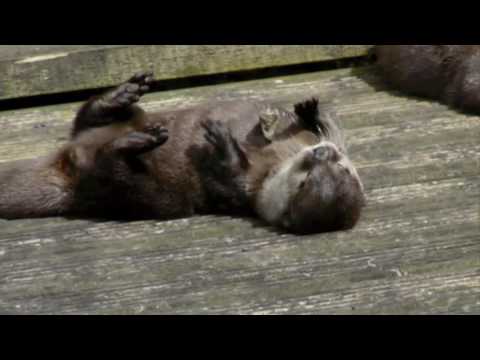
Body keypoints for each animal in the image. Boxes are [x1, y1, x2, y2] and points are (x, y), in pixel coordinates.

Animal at [0, 71, 364, 233]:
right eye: (343, 168)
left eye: (305, 185)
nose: (321, 155)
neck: (274, 167)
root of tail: (66, 177)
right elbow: (332, 127)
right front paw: (310, 110)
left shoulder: (243, 191)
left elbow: (229, 176)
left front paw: (222, 140)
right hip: (117, 123)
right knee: (87, 117)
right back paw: (122, 94)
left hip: (142, 194)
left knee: (110, 166)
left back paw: (135, 144)